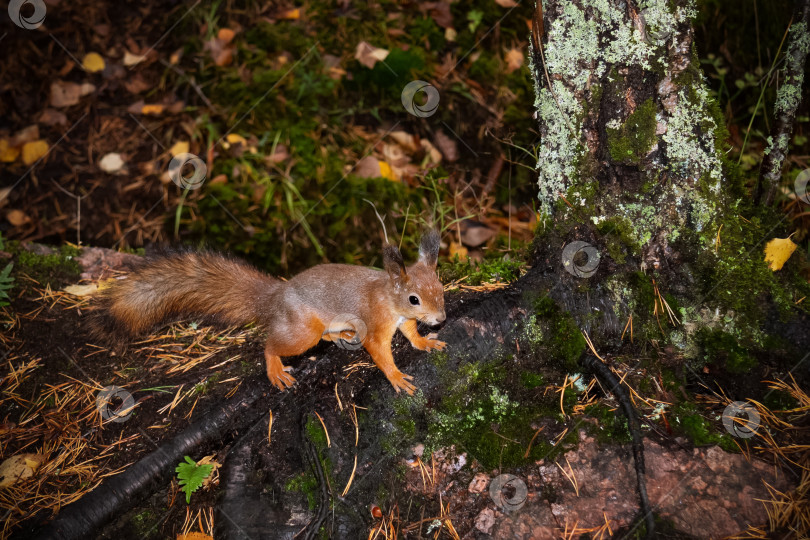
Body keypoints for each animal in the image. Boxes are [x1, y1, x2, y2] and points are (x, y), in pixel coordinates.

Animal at [94, 231, 448, 392]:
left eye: (441, 286)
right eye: (414, 298)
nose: (442, 319)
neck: (389, 298)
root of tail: (275, 297)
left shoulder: (402, 322)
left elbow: (411, 335)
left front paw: (426, 341)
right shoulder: (377, 323)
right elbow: (379, 351)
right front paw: (397, 377)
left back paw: (344, 333)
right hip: (303, 330)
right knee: (270, 345)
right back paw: (275, 368)